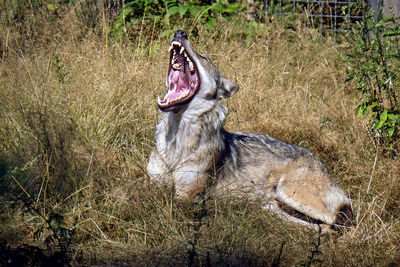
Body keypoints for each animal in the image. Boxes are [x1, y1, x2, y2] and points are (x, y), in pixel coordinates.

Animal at [148, 29, 354, 230]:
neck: (176, 139)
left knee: (342, 221)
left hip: (293, 193)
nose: (180, 32)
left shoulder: (186, 196)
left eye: (204, 57)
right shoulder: (153, 183)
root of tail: (320, 162)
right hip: (271, 206)